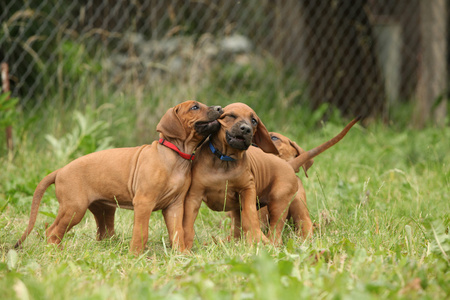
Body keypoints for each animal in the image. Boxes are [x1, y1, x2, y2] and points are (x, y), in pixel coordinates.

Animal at [15, 101, 223, 255]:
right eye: (195, 107)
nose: (220, 108)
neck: (175, 155)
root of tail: (60, 170)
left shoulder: (175, 206)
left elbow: (177, 231)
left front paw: (182, 254)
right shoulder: (144, 202)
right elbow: (141, 231)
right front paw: (135, 256)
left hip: (103, 209)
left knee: (102, 233)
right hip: (74, 208)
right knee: (52, 231)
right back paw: (56, 252)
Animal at [183, 102, 298, 247]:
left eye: (253, 121)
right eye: (231, 116)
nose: (246, 129)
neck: (225, 160)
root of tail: (288, 165)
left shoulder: (247, 189)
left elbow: (250, 215)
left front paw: (256, 239)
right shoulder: (194, 195)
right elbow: (188, 222)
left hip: (279, 202)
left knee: (275, 229)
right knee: (237, 230)